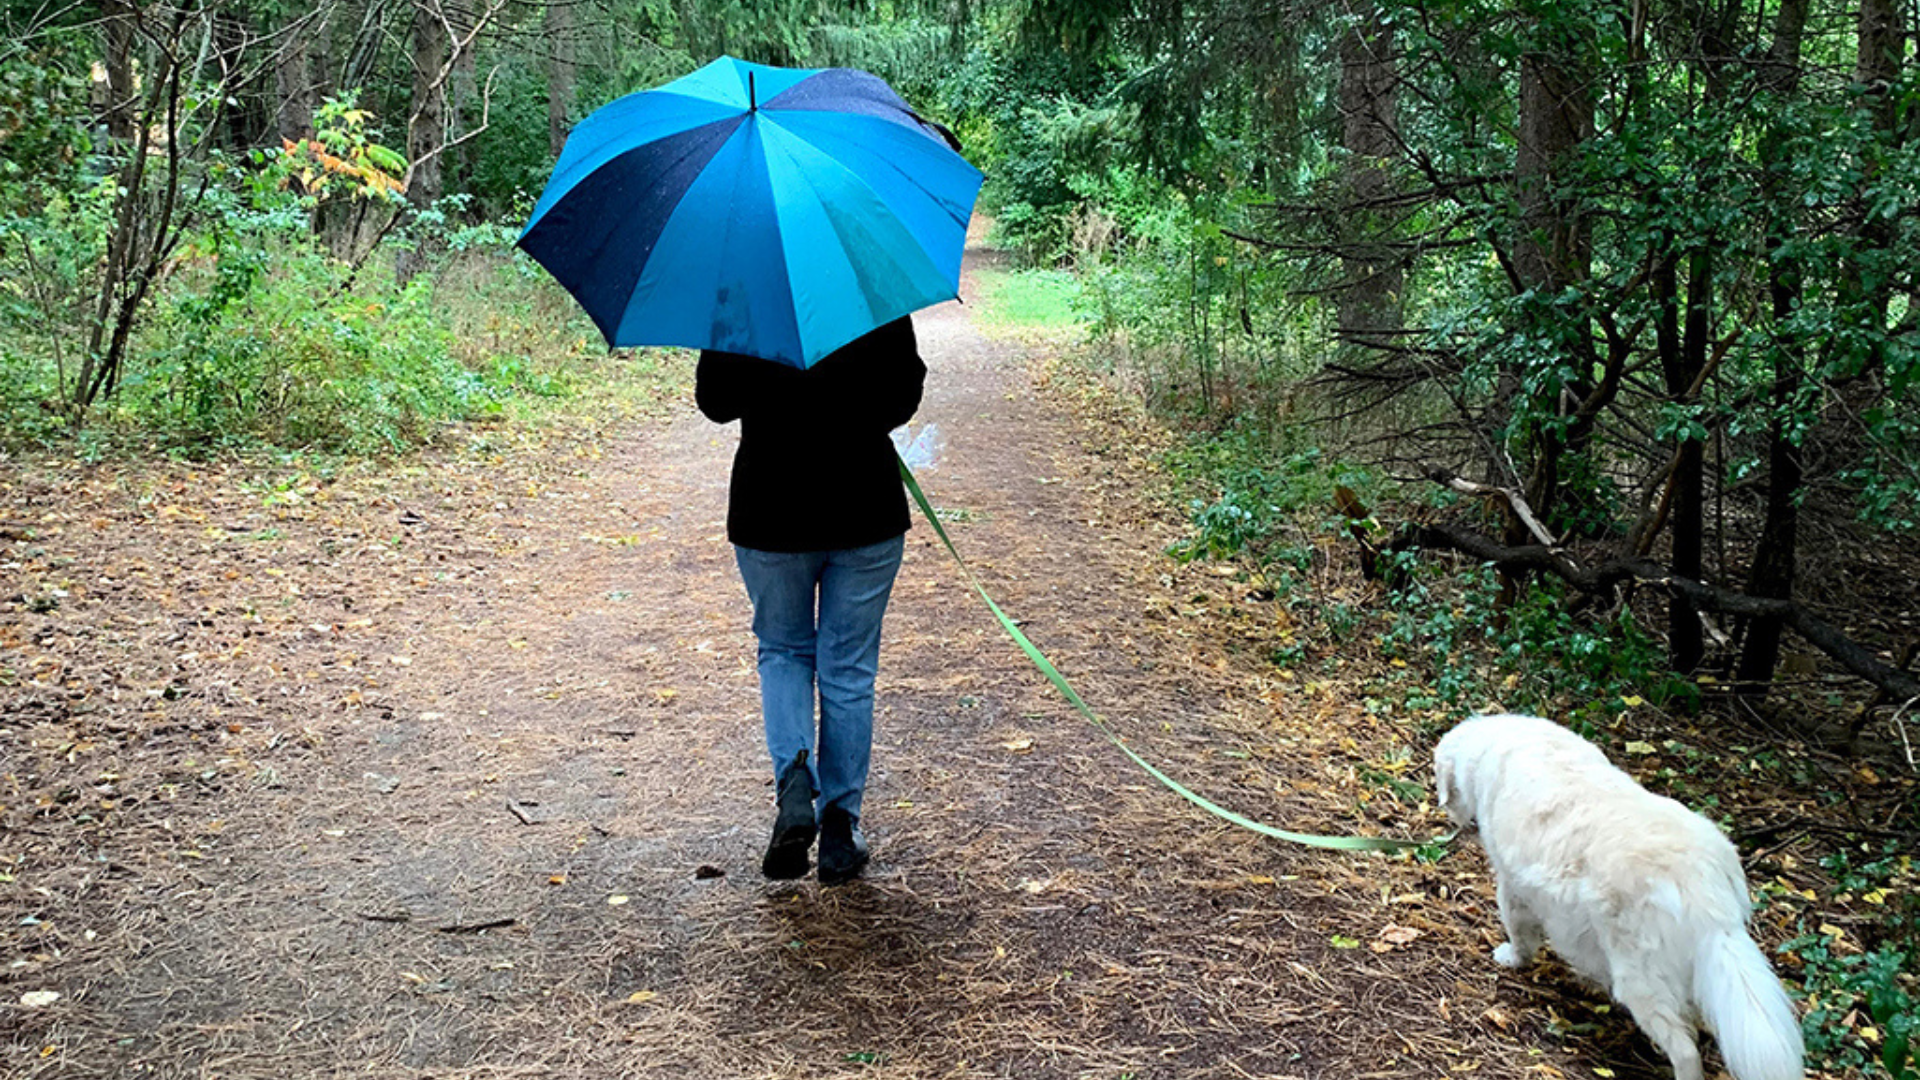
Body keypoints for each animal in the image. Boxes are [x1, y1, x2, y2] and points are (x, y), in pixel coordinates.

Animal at [1443, 714, 1797, 1076]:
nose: (1450, 818)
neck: (1497, 742)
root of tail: (1707, 891)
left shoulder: (1511, 885)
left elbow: (1518, 932)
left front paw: (1512, 958)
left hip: (1639, 980)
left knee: (1686, 1051)